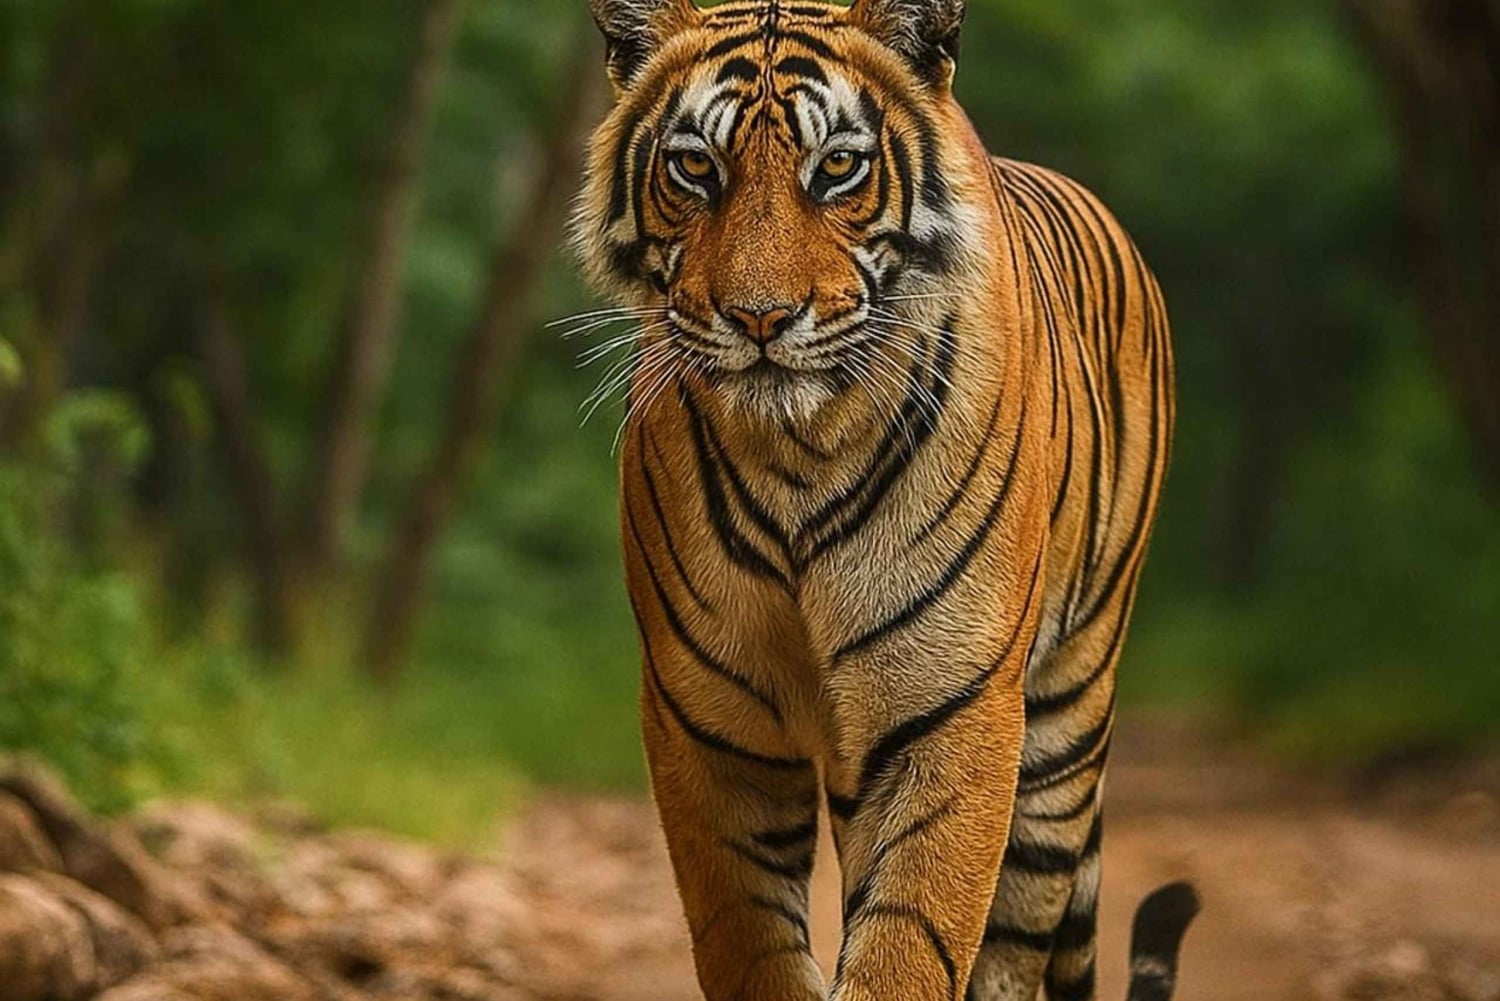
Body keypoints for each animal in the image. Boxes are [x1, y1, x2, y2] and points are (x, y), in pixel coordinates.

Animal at [569, 1, 1194, 999]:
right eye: (695, 166)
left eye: (837, 166)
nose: (760, 318)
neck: (797, 450)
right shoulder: (710, 723)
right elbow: (749, 943)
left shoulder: (951, 707)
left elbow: (911, 939)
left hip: (1066, 724)